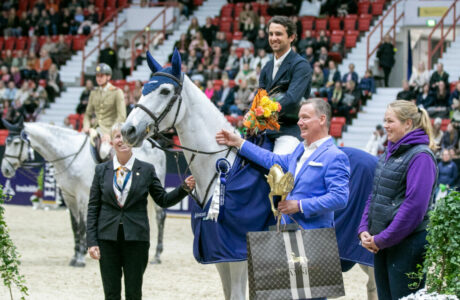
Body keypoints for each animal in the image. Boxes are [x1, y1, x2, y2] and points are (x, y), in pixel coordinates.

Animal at [0, 120, 169, 266]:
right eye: (6, 142)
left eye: (16, 143)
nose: (6, 170)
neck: (69, 155)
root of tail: (157, 147)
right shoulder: (69, 197)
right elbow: (75, 226)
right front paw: (76, 255)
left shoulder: (82, 197)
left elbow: (82, 225)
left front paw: (80, 257)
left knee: (160, 217)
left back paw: (157, 255)